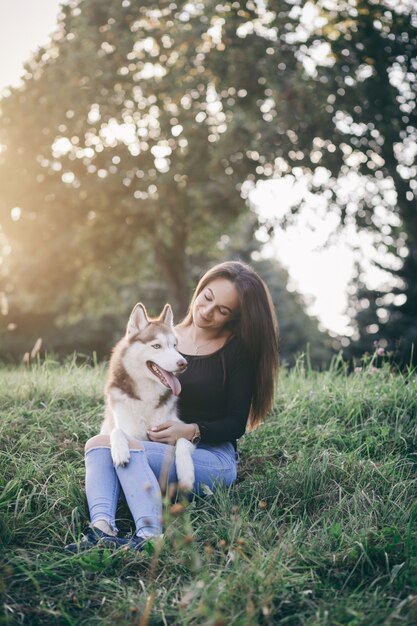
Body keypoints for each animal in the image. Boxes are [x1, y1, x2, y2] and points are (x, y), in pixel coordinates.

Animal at [101, 304, 196, 492]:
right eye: (157, 346)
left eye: (175, 345)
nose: (183, 363)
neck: (147, 397)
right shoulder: (133, 433)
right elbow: (117, 431)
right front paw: (120, 451)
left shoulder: (178, 430)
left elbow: (182, 438)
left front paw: (187, 475)